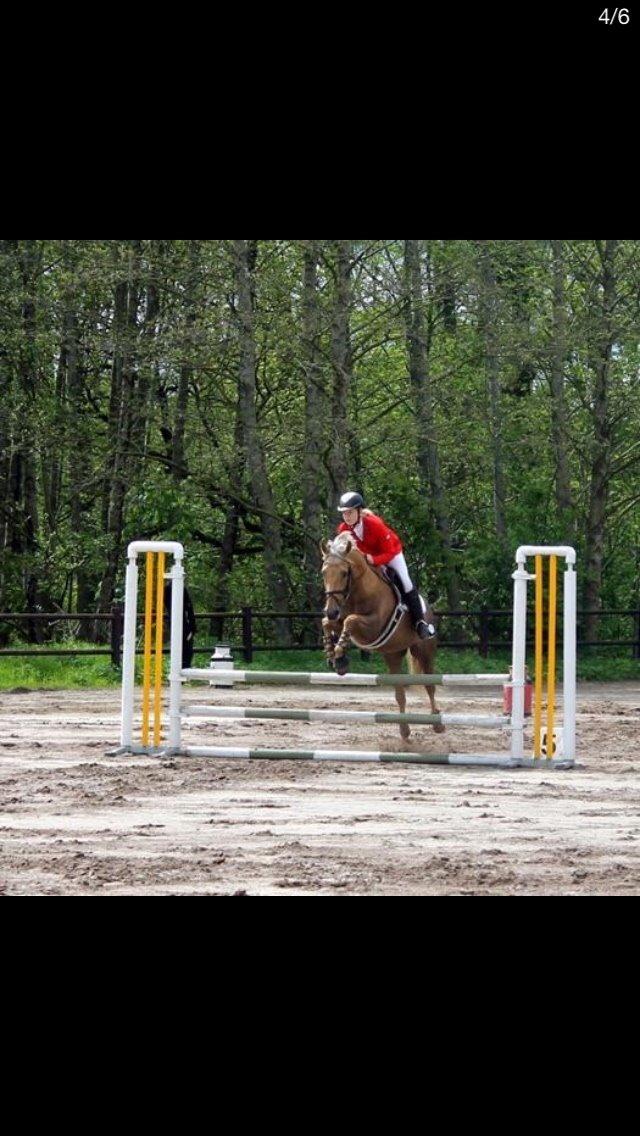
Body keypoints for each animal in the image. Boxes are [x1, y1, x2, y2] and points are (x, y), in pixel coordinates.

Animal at [320, 533, 445, 740]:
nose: (331, 611)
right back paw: (404, 730)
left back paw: (437, 723)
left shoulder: (374, 626)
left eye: (344, 573)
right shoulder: (339, 619)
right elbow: (327, 623)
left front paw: (338, 651)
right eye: (324, 572)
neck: (357, 590)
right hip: (392, 654)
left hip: (424, 651)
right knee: (400, 693)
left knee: (430, 685)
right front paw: (335, 656)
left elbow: (350, 621)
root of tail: (428, 609)